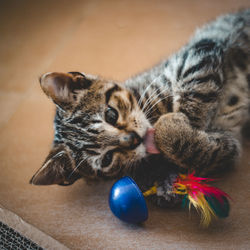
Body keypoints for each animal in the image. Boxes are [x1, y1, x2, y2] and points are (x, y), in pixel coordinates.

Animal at [30, 9, 249, 204]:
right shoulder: (227, 147)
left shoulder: (198, 54)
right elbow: (207, 153)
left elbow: (195, 95)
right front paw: (165, 178)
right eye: (107, 159)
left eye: (111, 115)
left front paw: (184, 122)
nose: (134, 139)